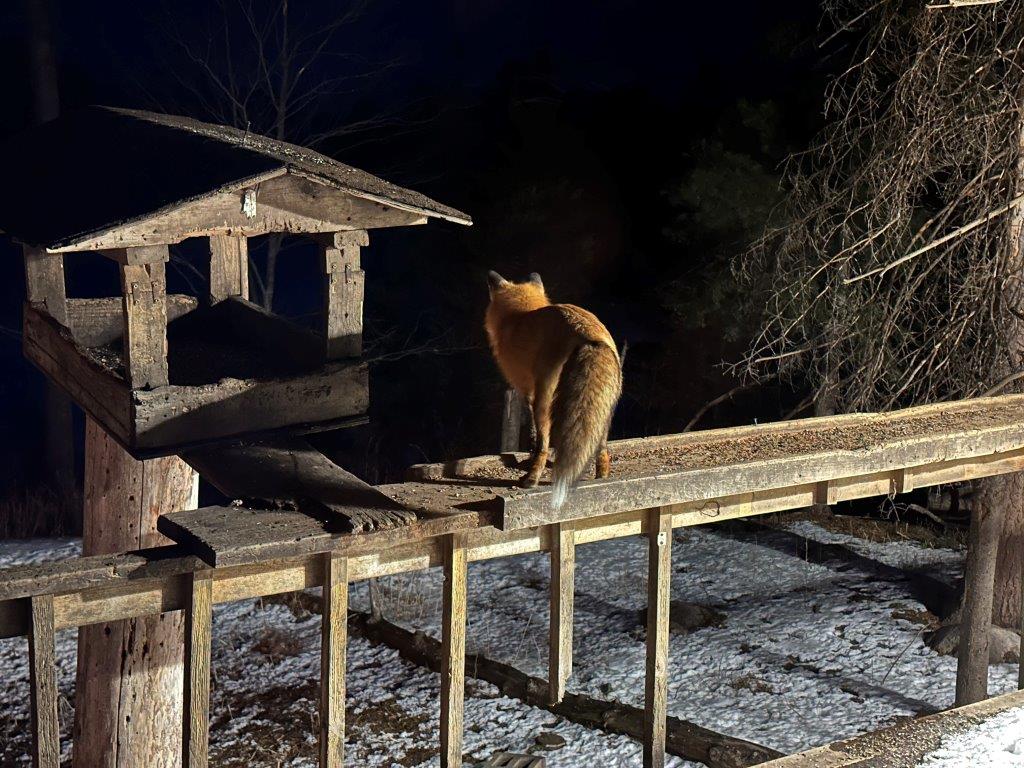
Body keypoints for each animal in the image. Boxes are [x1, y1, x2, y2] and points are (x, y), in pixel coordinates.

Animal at [485, 270, 623, 509]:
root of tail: (588, 334)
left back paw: (531, 479)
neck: (519, 316)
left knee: (545, 442)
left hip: (545, 397)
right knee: (601, 447)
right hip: (605, 408)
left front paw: (530, 459)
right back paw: (601, 478)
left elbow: (533, 434)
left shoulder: (526, 389)